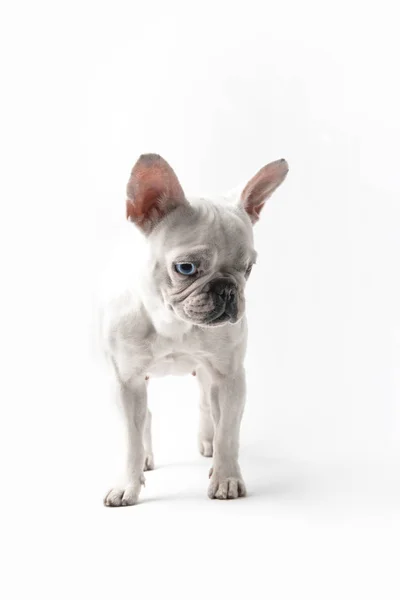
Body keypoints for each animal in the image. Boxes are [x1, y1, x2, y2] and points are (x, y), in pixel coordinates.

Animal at [100, 152, 288, 504]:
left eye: (248, 269)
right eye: (185, 268)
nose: (227, 290)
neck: (173, 323)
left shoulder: (229, 377)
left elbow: (228, 431)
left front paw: (226, 477)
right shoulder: (126, 382)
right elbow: (131, 440)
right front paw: (128, 484)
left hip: (208, 375)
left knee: (206, 405)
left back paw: (208, 442)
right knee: (146, 419)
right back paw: (146, 458)